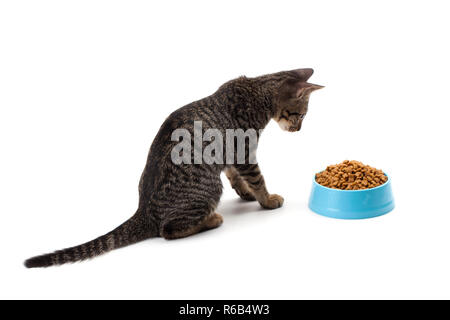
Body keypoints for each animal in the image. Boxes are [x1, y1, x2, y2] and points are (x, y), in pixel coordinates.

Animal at [24, 67, 324, 268]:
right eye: (300, 115)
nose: (298, 130)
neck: (256, 89)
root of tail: (143, 211)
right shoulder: (244, 149)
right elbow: (257, 178)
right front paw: (267, 199)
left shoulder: (229, 154)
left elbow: (235, 175)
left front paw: (246, 194)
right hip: (209, 189)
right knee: (167, 231)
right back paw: (211, 220)